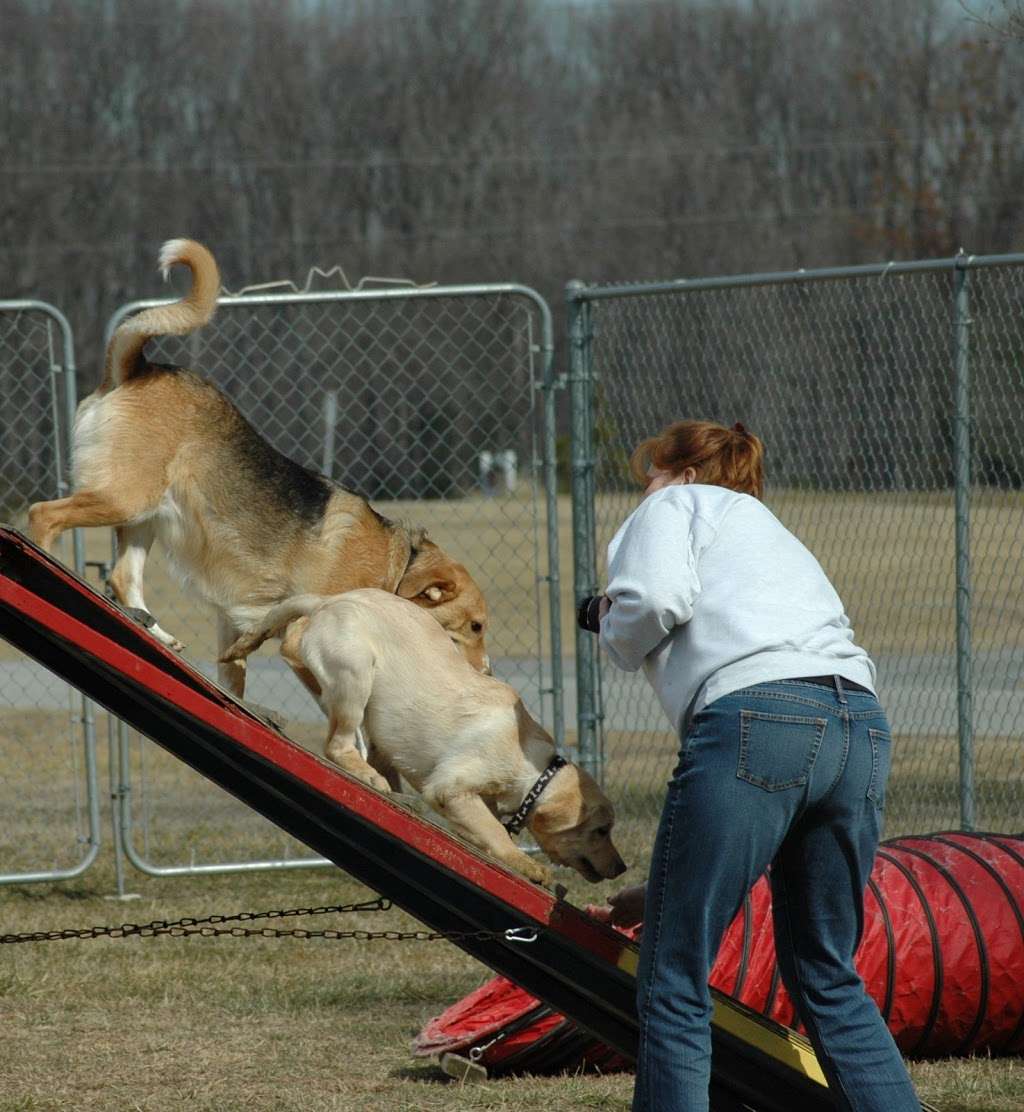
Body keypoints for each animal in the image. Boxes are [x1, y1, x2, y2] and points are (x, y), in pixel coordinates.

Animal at [25, 241, 486, 702]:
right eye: (476, 626)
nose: (487, 673)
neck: (397, 569)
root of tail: (135, 368)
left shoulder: (234, 621)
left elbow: (235, 675)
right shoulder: (302, 636)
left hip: (144, 515)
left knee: (123, 578)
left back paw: (159, 634)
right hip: (125, 499)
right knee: (42, 514)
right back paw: (48, 565)